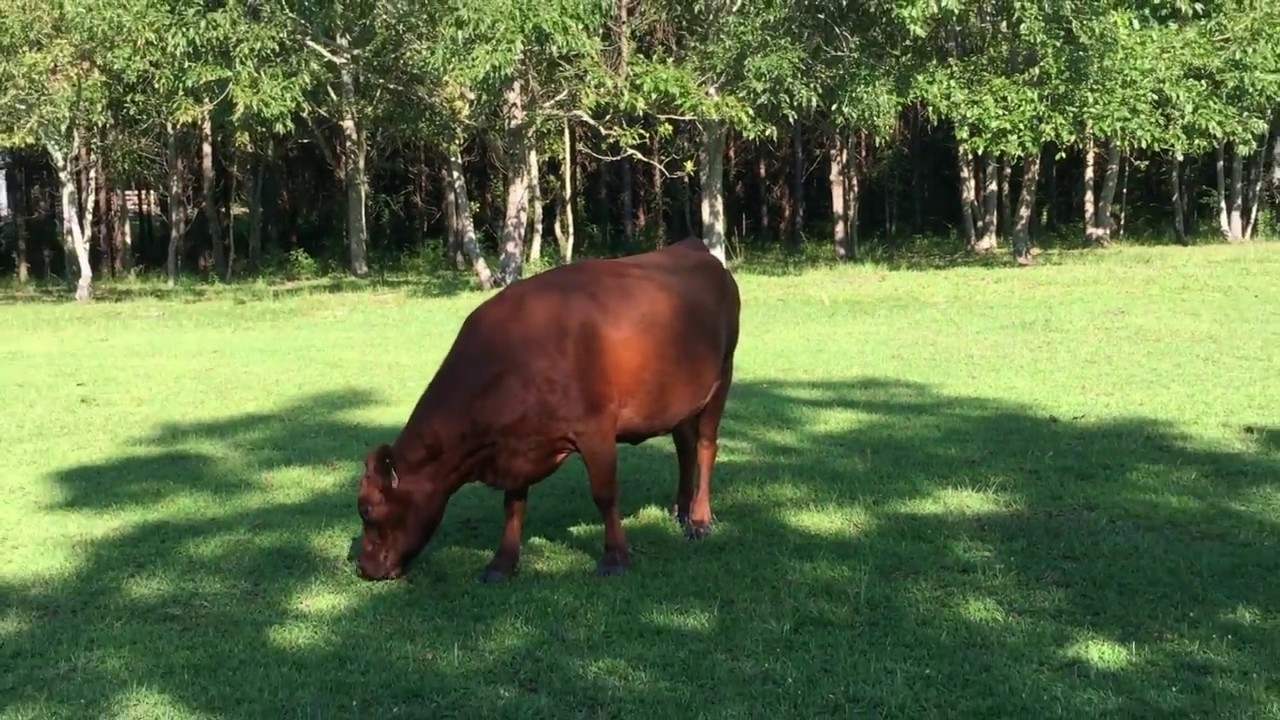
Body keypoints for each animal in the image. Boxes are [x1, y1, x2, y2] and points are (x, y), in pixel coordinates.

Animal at [352, 237, 742, 583]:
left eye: (367, 509)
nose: (362, 568)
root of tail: (692, 246)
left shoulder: (595, 428)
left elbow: (604, 495)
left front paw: (615, 558)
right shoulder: (516, 442)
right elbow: (513, 504)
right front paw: (502, 563)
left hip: (722, 376)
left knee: (705, 447)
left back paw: (700, 520)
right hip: (678, 397)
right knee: (685, 446)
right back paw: (681, 509)